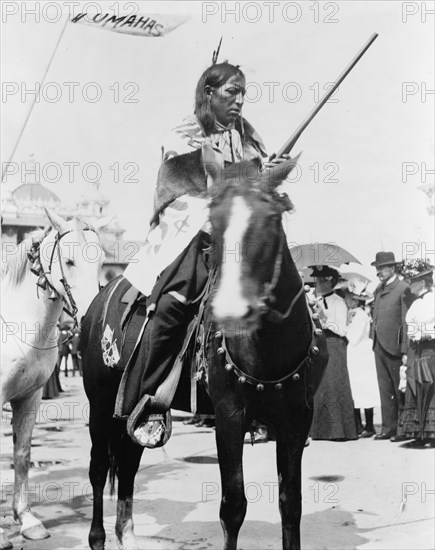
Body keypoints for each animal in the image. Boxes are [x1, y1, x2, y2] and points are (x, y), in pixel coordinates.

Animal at [0, 208, 103, 550]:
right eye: (68, 261)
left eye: (101, 261)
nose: (90, 319)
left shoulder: (29, 396)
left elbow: (22, 454)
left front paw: (26, 519)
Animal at [80, 147, 328, 550]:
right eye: (214, 221)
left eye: (271, 218)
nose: (232, 311)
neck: (268, 351)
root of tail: (100, 297)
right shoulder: (228, 417)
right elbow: (234, 506)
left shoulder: (296, 419)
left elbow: (291, 504)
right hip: (100, 403)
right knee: (100, 468)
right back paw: (99, 538)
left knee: (129, 462)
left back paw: (127, 534)